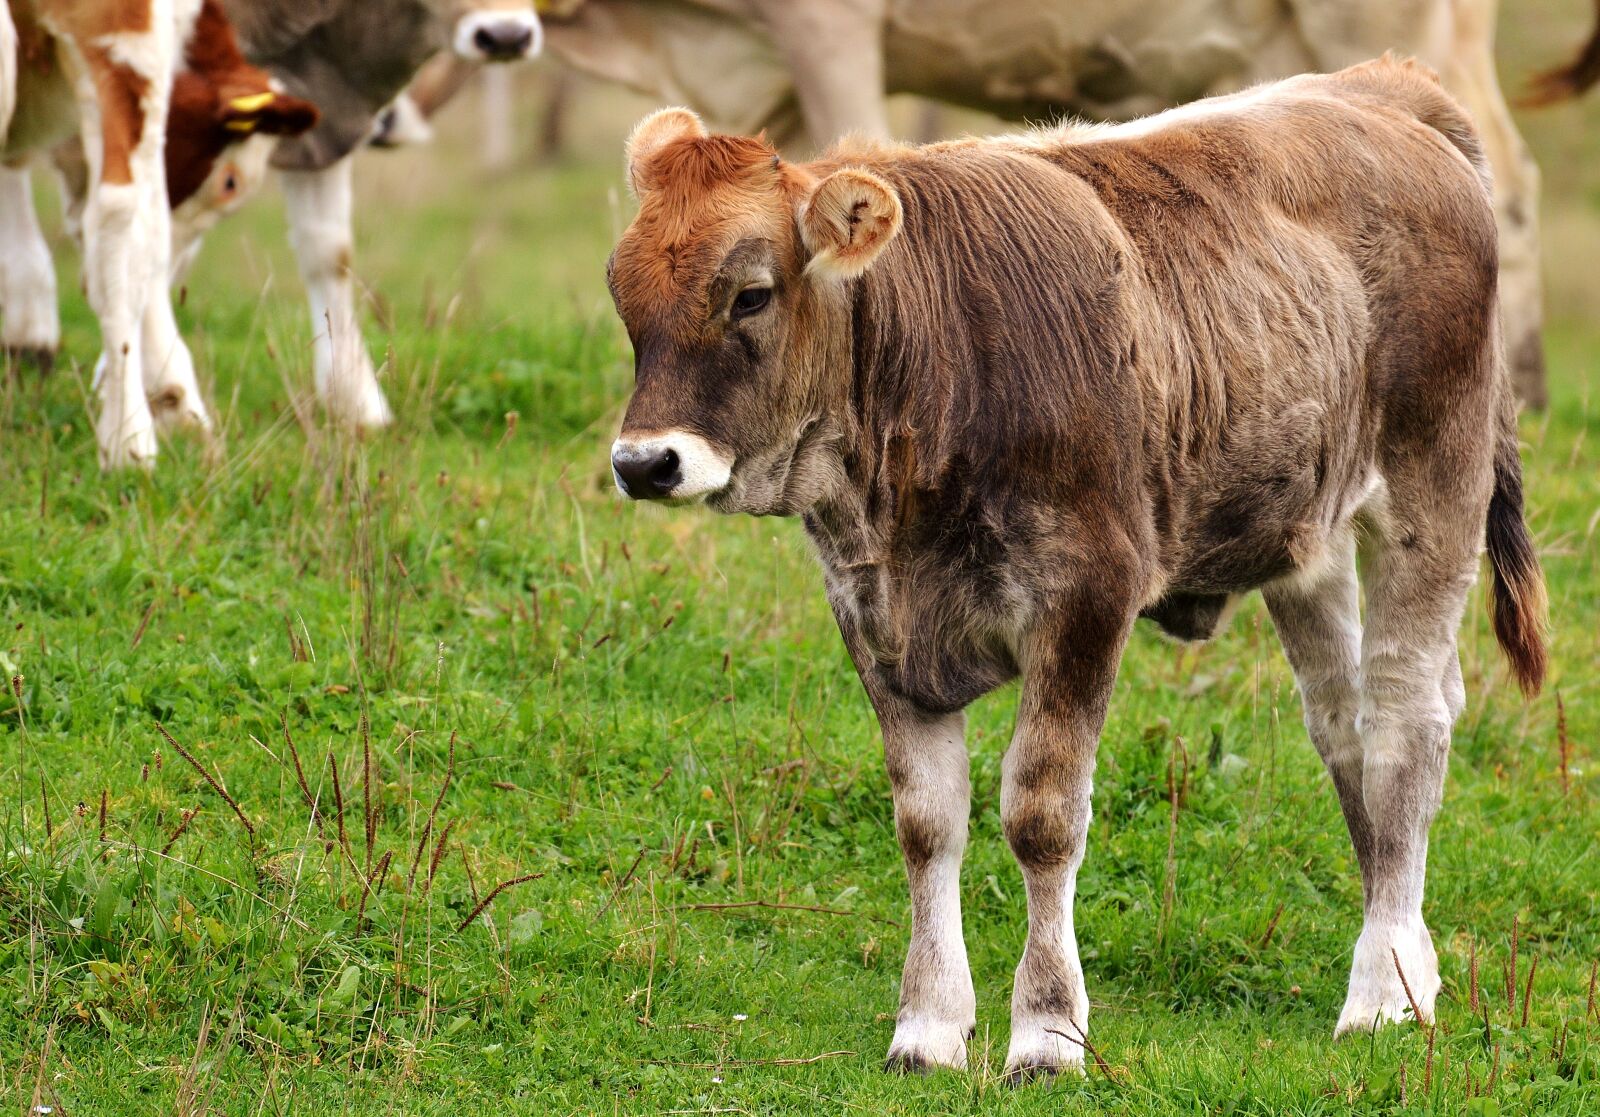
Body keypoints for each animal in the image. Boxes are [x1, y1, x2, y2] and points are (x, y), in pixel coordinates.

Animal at [604, 58, 1548, 1078]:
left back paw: (1378, 992)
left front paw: (1048, 1031)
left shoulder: (1088, 597)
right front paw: (927, 1024)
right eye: (623, 293)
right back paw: (1410, 966)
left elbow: (1042, 814)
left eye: (750, 294)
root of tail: (1383, 85)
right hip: (1308, 540)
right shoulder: (870, 614)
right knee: (1347, 726)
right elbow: (925, 821)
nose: (645, 462)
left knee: (1406, 724)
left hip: (1432, 493)